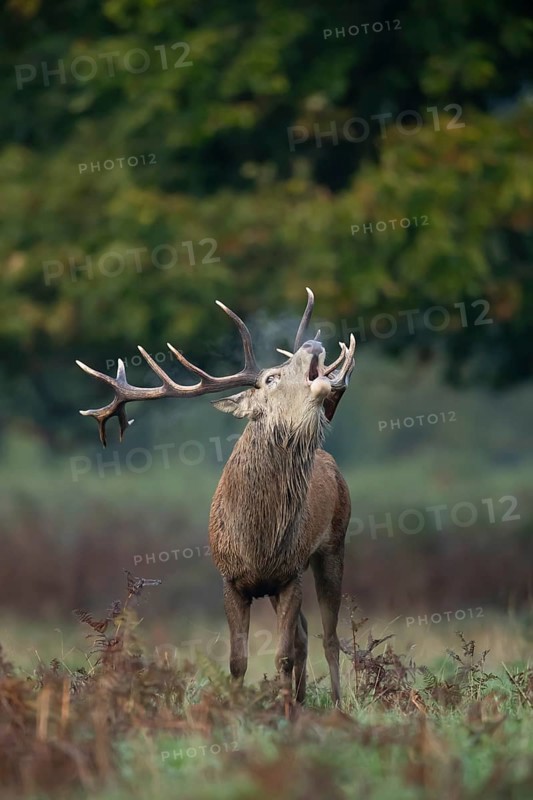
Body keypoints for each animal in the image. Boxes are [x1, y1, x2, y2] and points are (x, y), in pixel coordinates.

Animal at [76, 288, 356, 705]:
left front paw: (284, 711)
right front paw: (239, 707)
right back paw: (304, 698)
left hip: (334, 544)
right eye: (271, 378)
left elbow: (283, 656)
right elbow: (238, 660)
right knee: (307, 633)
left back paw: (334, 703)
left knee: (330, 637)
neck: (258, 541)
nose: (312, 345)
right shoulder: (231, 579)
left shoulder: (289, 574)